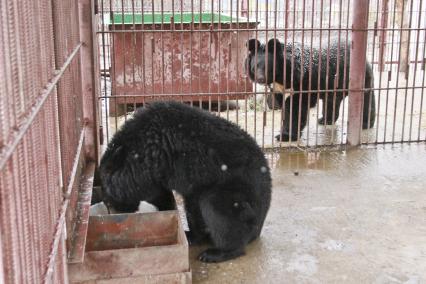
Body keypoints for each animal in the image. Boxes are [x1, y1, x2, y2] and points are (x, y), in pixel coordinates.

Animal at [98, 101, 272, 262]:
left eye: (108, 195)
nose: (116, 210)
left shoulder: (159, 163)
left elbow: (158, 192)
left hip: (236, 193)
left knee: (217, 209)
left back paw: (217, 252)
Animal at [243, 38, 376, 141]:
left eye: (268, 67)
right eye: (255, 67)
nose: (260, 79)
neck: (281, 76)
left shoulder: (303, 82)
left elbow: (295, 107)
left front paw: (285, 136)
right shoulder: (277, 88)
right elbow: (283, 105)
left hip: (359, 77)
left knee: (366, 99)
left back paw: (365, 124)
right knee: (332, 100)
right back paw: (325, 120)